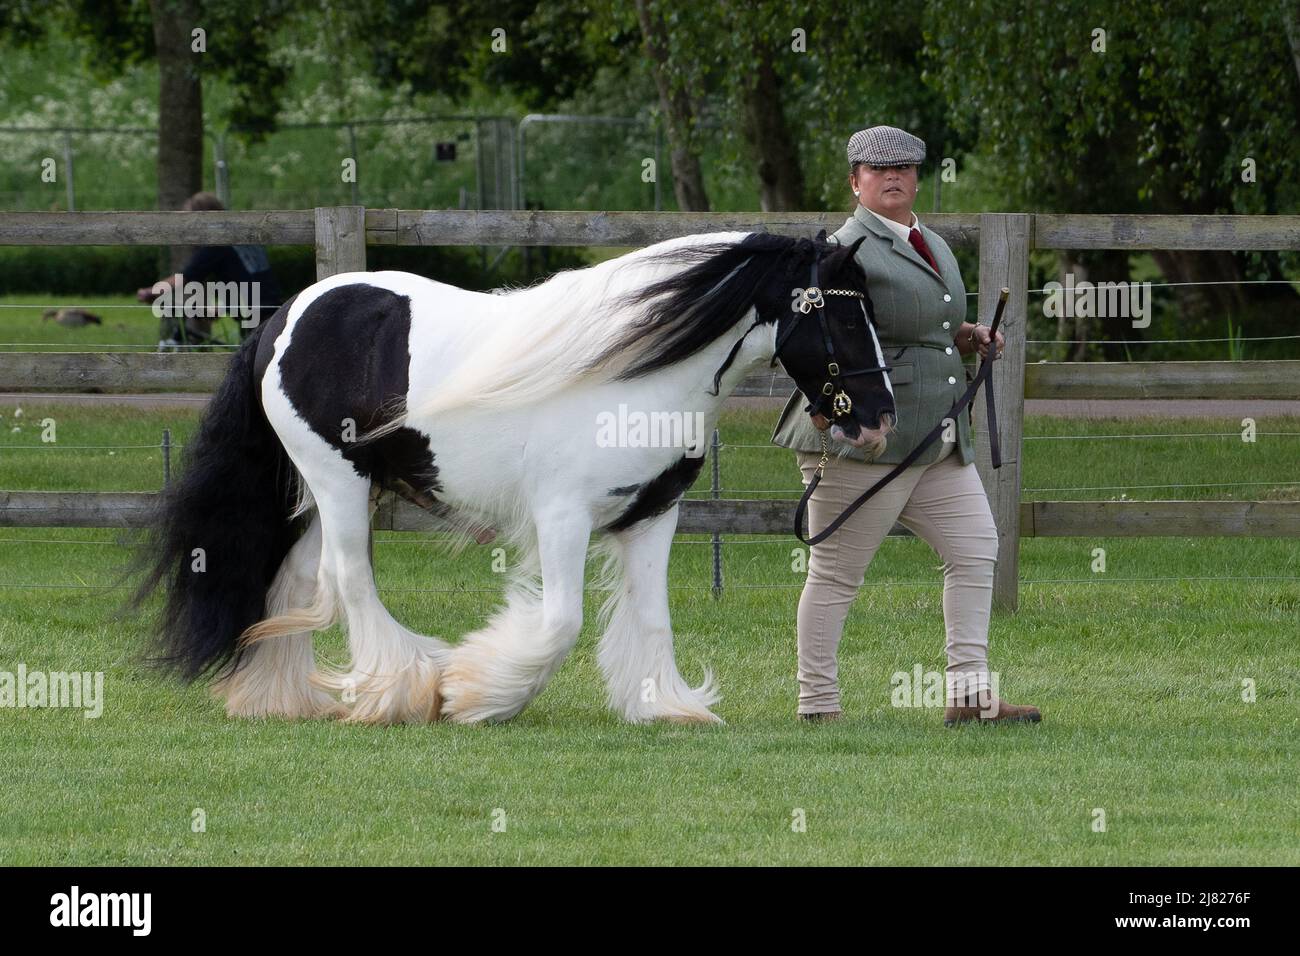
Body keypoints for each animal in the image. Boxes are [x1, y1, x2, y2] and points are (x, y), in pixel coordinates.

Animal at [137, 231, 899, 723]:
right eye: (837, 312)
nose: (879, 418)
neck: (634, 373)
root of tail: (282, 322)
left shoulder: (654, 516)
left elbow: (652, 616)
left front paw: (664, 705)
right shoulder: (562, 517)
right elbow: (560, 622)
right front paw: (476, 696)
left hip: (328, 494)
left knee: (294, 579)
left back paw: (279, 699)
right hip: (338, 481)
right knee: (348, 578)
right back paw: (404, 691)